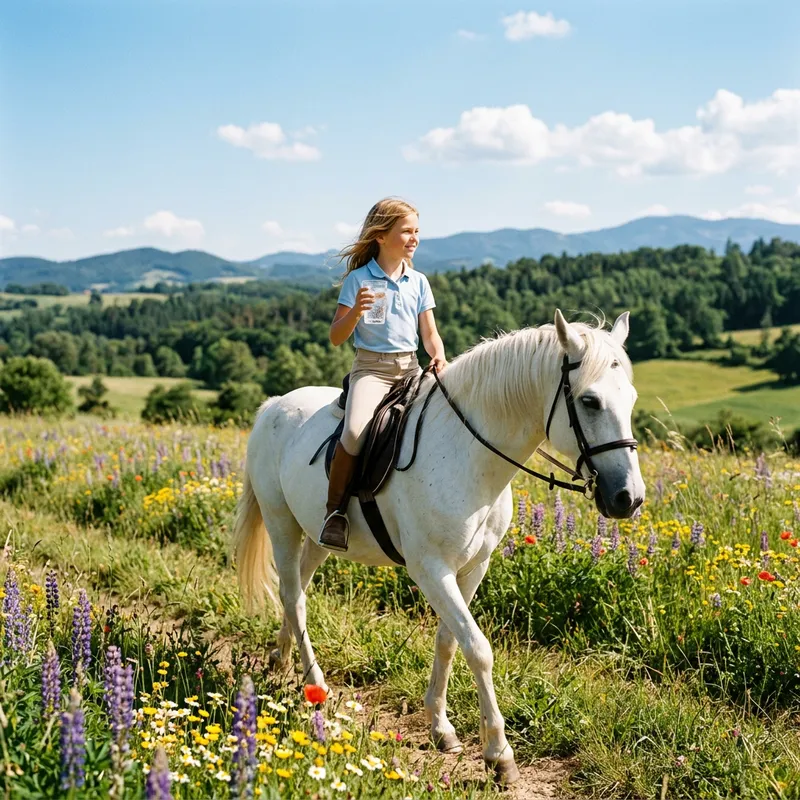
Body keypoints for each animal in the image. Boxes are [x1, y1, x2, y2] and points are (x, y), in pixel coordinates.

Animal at [233, 309, 645, 784]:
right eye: (590, 401)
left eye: (631, 398)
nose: (629, 498)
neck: (468, 455)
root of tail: (274, 405)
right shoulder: (431, 569)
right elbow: (478, 649)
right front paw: (499, 754)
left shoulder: (473, 566)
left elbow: (450, 641)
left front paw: (440, 727)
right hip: (281, 522)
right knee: (293, 596)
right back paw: (314, 684)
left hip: (318, 534)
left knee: (296, 587)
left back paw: (282, 660)